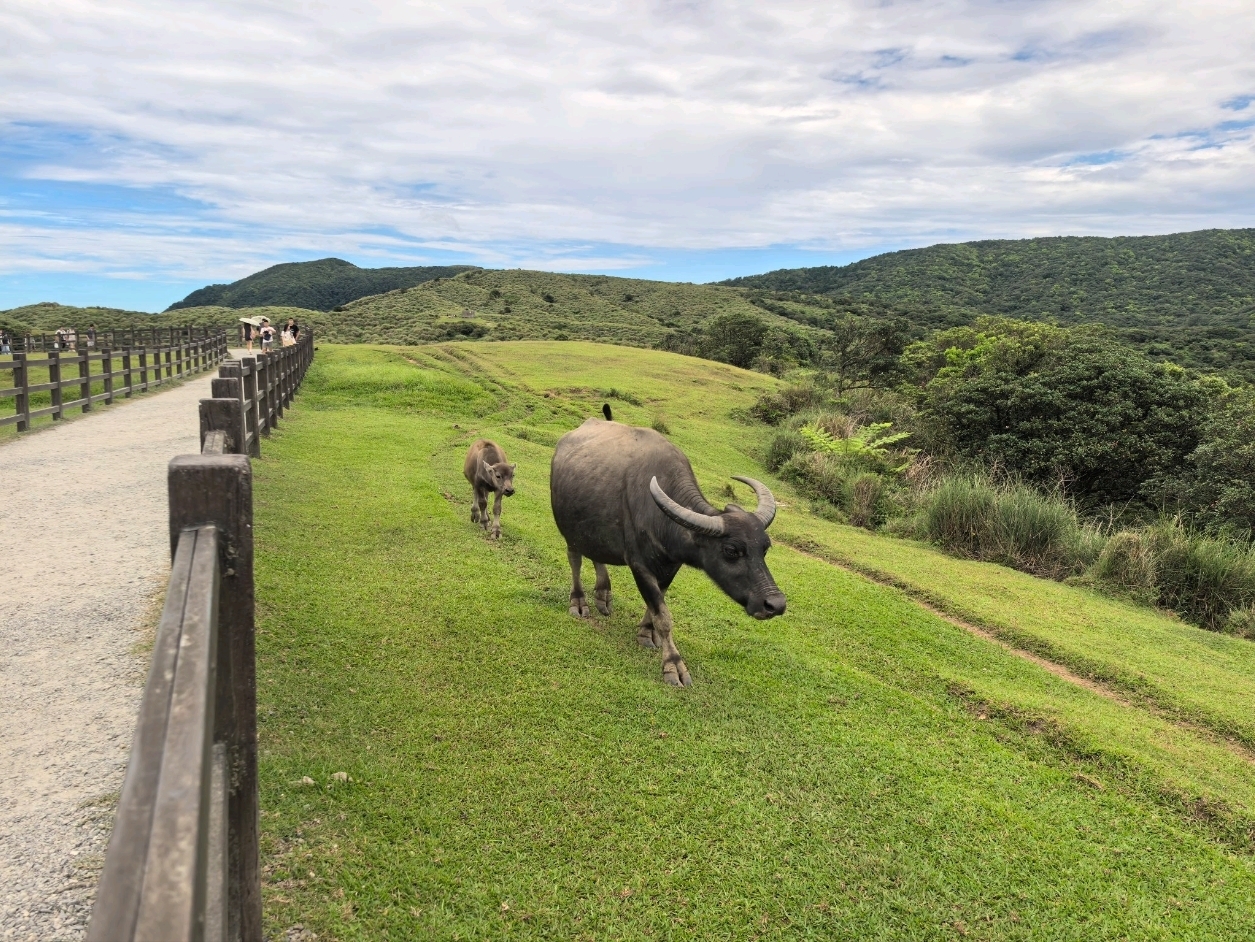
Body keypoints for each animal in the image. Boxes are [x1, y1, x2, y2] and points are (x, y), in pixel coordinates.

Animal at [550, 412, 786, 686]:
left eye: (765, 548)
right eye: (731, 550)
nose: (776, 604)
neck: (663, 520)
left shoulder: (670, 566)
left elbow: (656, 605)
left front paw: (646, 633)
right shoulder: (640, 566)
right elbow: (663, 615)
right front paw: (674, 665)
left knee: (597, 554)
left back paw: (603, 593)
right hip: (568, 530)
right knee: (575, 559)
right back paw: (578, 602)